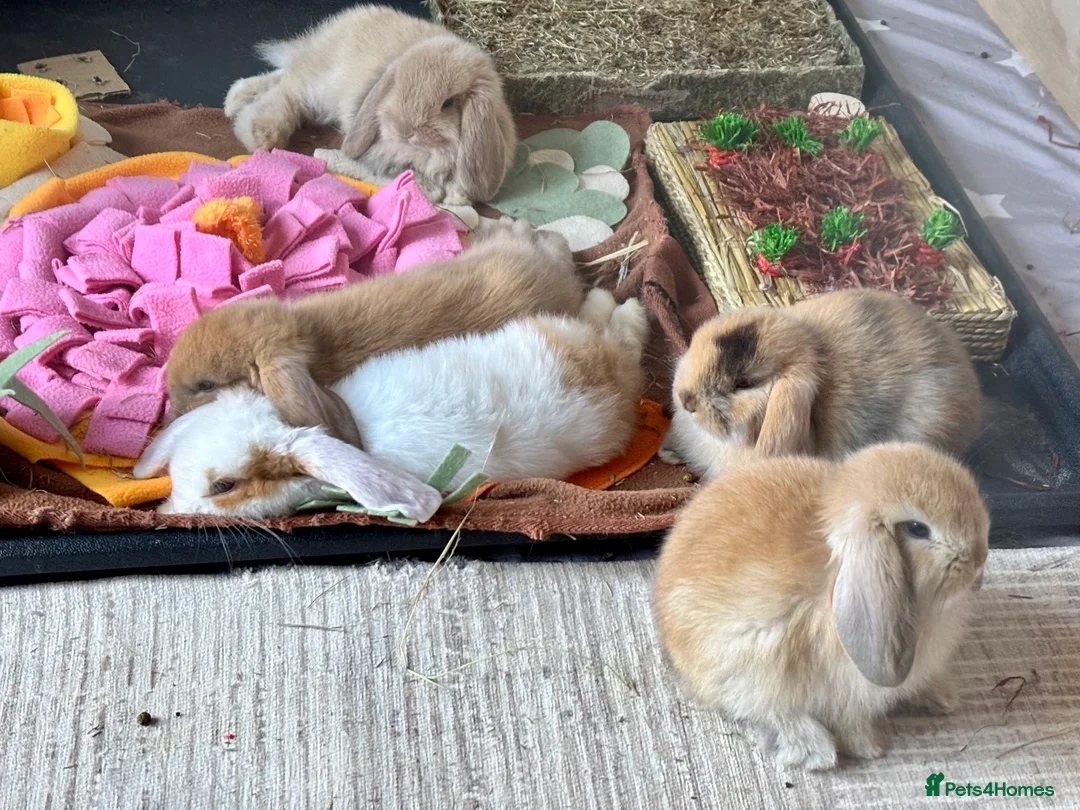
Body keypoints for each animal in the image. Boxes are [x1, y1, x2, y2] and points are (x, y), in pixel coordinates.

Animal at [138, 289, 649, 518]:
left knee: (626, 332)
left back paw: (628, 307)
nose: (168, 514)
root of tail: (602, 370)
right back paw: (607, 301)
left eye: (224, 486)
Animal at [225, 5, 517, 204]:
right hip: (319, 87)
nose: (403, 129)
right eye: (398, 83)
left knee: (282, 77)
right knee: (287, 92)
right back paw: (258, 133)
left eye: (449, 103)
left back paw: (234, 98)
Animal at [654, 442, 990, 770]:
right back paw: (813, 747)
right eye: (918, 528)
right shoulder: (843, 691)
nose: (979, 558)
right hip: (743, 669)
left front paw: (944, 698)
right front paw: (871, 749)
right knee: (763, 709)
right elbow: (849, 721)